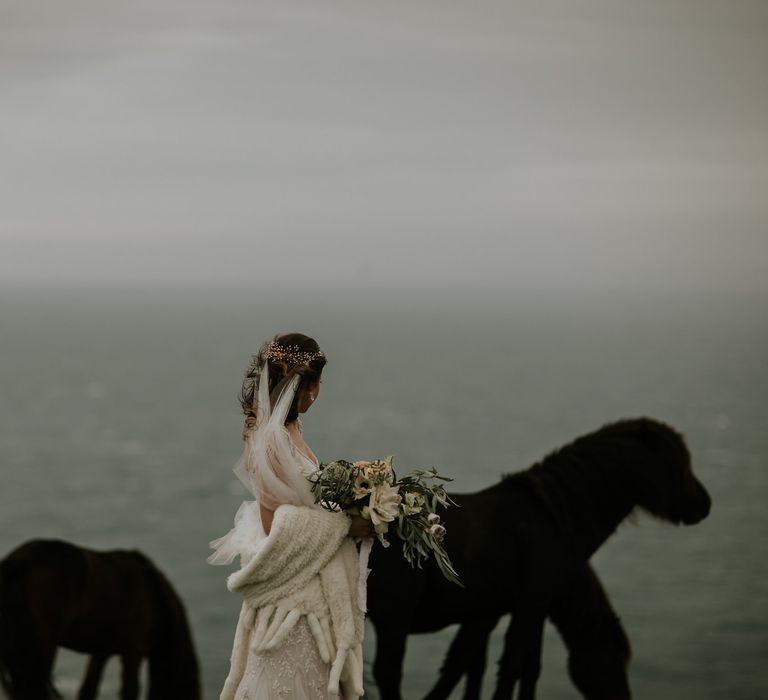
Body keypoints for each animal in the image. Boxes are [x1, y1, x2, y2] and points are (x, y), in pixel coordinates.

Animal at [0, 540, 201, 700]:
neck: (154, 595)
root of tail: (14, 563)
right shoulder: (133, 651)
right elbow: (130, 691)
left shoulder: (100, 653)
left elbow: (88, 690)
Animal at [426, 564, 632, 700]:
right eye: (617, 658)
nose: (624, 697)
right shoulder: (487, 617)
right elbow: (463, 663)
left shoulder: (528, 612)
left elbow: (529, 666)